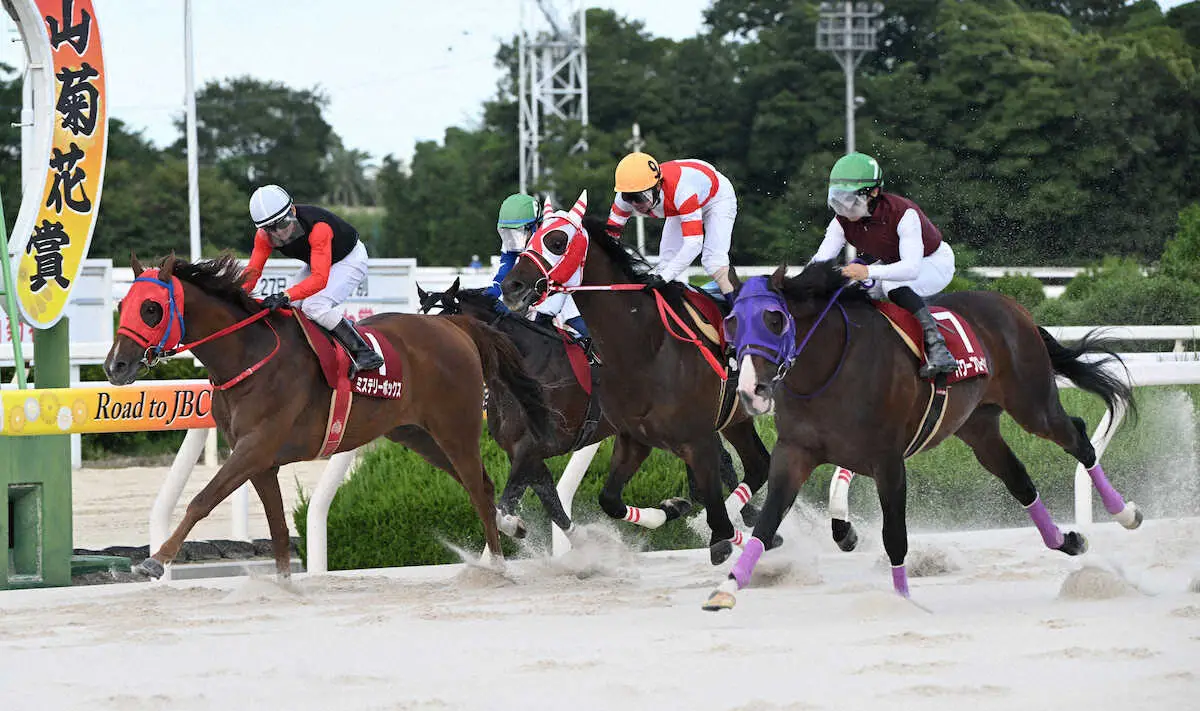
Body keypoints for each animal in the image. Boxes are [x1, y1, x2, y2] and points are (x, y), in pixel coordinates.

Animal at [105, 254, 549, 576]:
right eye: (123, 305)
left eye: (151, 309)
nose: (115, 366)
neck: (248, 356)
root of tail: (456, 327)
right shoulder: (260, 461)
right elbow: (278, 527)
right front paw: (283, 583)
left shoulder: (254, 447)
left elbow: (201, 500)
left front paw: (155, 560)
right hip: (419, 435)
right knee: (481, 485)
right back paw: (512, 528)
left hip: (455, 428)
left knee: (477, 486)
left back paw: (497, 564)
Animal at [501, 207, 772, 564]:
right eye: (529, 238)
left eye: (557, 242)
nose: (511, 286)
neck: (645, 346)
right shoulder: (634, 438)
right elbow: (608, 500)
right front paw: (672, 508)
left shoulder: (696, 439)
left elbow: (713, 503)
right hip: (736, 420)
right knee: (758, 464)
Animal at [700, 264, 1142, 607]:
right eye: (731, 322)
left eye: (774, 318)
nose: (751, 390)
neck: (828, 369)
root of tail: (1014, 307)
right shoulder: (795, 453)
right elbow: (766, 523)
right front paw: (727, 589)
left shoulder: (888, 461)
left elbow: (895, 536)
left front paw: (903, 602)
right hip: (978, 427)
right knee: (1019, 479)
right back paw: (1068, 540)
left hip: (1033, 405)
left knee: (1078, 438)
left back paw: (1125, 512)